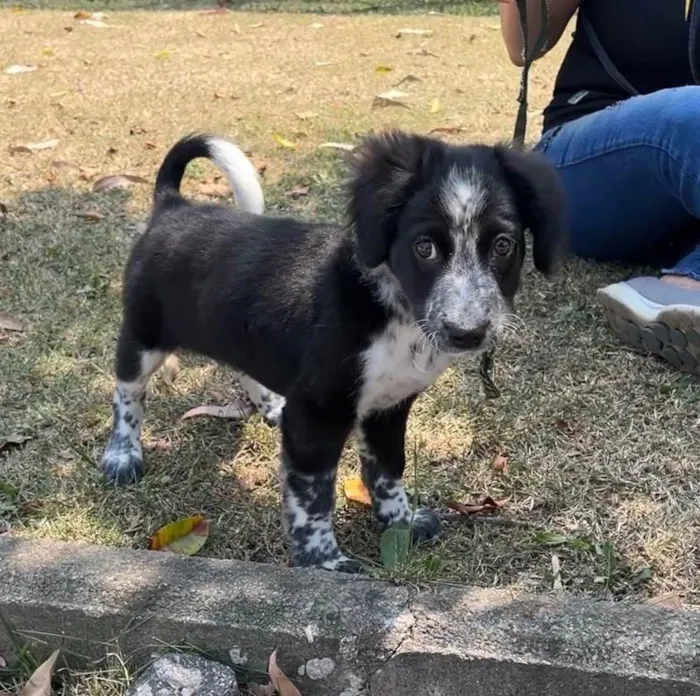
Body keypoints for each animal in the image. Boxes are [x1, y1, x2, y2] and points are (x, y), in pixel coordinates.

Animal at [101, 129, 568, 572]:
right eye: (425, 247)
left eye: (503, 245)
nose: (466, 333)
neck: (392, 311)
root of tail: (172, 206)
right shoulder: (316, 414)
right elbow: (313, 494)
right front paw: (321, 559)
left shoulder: (389, 407)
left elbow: (387, 468)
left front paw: (400, 521)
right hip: (143, 334)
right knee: (128, 392)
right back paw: (122, 454)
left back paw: (269, 404)